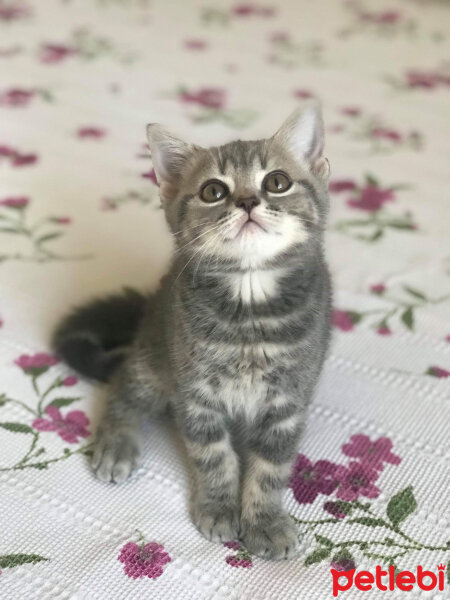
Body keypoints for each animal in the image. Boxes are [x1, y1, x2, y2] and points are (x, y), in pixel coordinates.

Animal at [54, 102, 332, 556]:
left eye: (277, 182)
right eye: (213, 191)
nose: (248, 200)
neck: (249, 310)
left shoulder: (288, 401)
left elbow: (270, 467)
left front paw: (266, 521)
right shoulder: (195, 393)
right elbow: (214, 456)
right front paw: (219, 507)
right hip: (154, 355)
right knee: (124, 386)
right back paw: (117, 443)